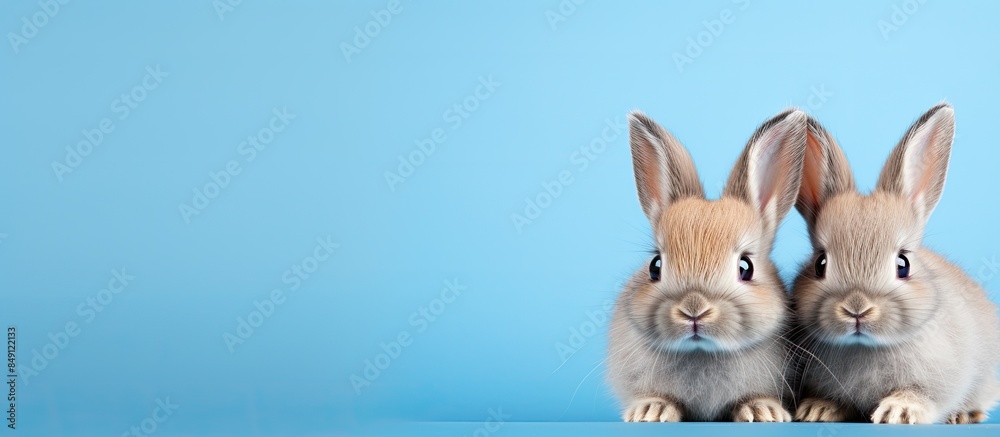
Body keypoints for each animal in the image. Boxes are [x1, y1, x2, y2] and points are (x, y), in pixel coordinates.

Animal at [607, 109, 808, 422]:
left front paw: (763, 411)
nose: (694, 309)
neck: (701, 351)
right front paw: (651, 410)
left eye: (746, 267)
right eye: (655, 265)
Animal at [791, 103, 1000, 424]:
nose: (857, 309)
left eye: (903, 264)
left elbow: (925, 396)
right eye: (820, 263)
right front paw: (816, 409)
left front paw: (898, 411)